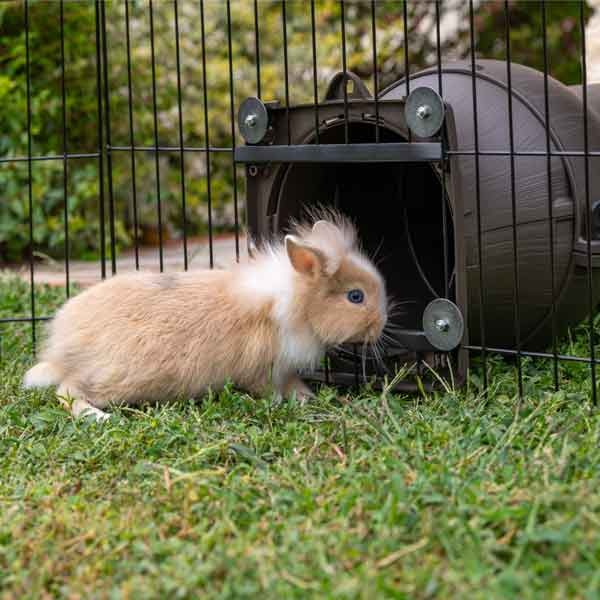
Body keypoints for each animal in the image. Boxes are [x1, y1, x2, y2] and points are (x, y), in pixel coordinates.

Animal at [22, 211, 390, 422]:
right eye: (356, 297)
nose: (382, 324)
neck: (295, 303)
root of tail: (61, 349)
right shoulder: (262, 369)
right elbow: (270, 389)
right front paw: (289, 403)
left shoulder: (283, 369)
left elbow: (294, 384)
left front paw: (307, 398)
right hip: (116, 377)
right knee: (67, 391)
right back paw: (99, 418)